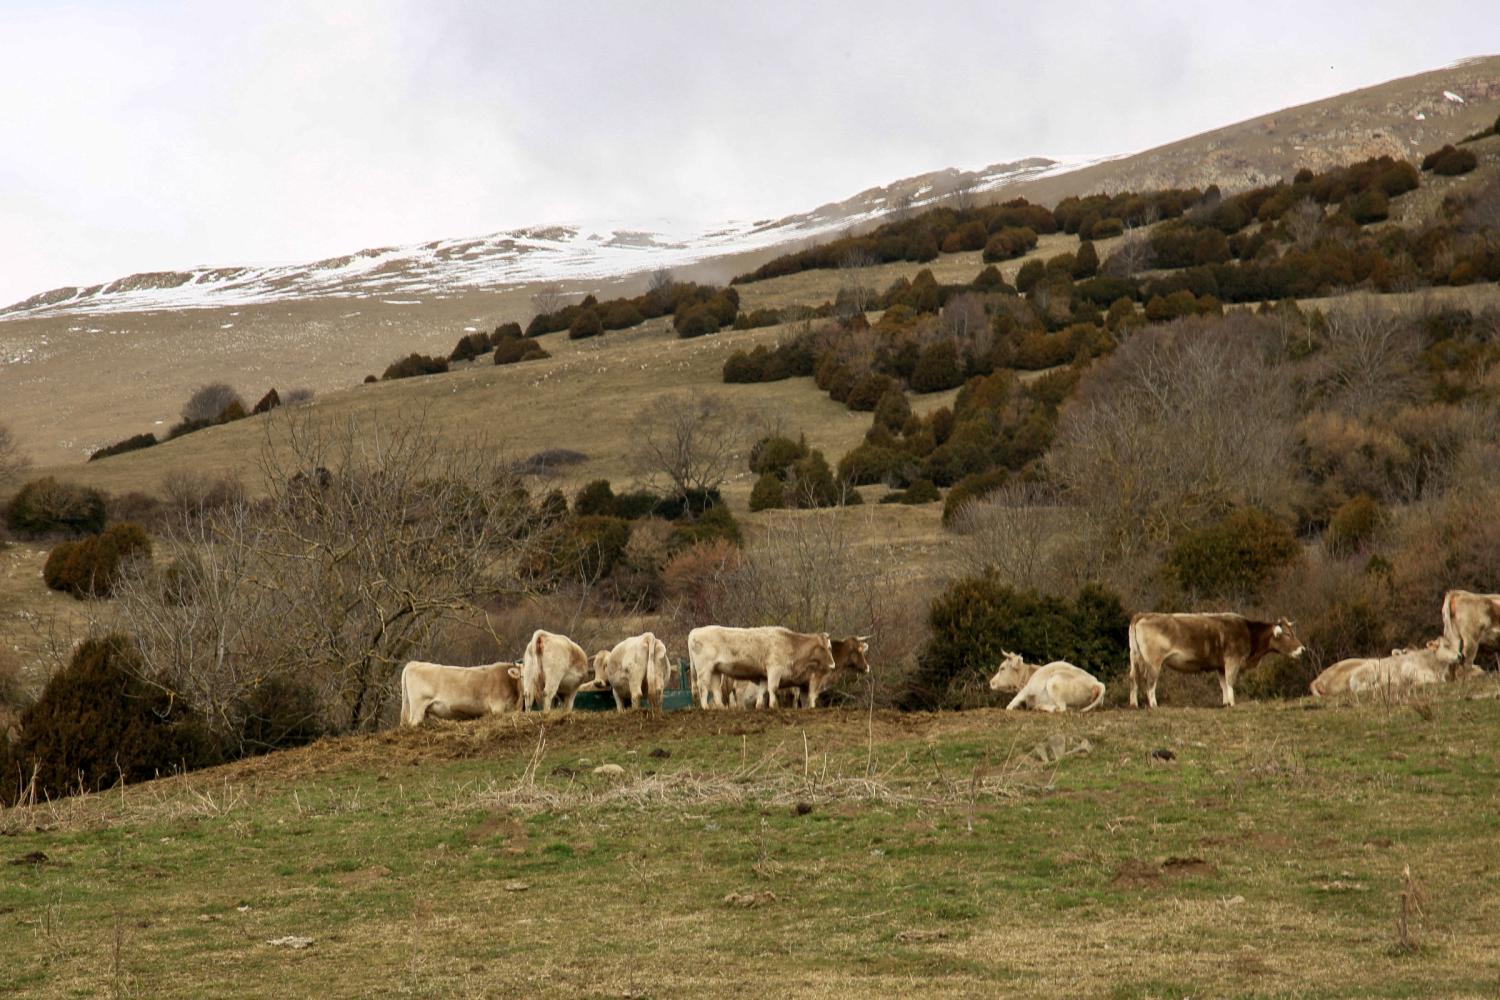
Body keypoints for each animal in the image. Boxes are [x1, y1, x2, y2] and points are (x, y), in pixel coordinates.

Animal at [686, 626, 838, 709]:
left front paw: (760, 706)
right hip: (704, 669)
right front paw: (774, 706)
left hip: (715, 670)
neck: (790, 643)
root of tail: (696, 630)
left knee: (715, 689)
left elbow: (763, 690)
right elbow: (773, 688)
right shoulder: (774, 669)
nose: (833, 665)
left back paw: (721, 708)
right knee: (703, 687)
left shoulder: (764, 675)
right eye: (827, 647)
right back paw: (706, 707)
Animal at [1128, 612, 1306, 708]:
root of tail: (1143, 614)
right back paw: (1153, 704)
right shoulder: (1232, 660)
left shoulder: (1221, 666)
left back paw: (1134, 704)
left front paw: (1226, 702)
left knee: (1134, 679)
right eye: (1287, 635)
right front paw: (1232, 703)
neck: (1249, 632)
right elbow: (1230, 681)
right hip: (1153, 662)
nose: (1302, 649)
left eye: (1294, 633)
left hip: (1135, 658)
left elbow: (1223, 684)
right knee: (1150, 682)